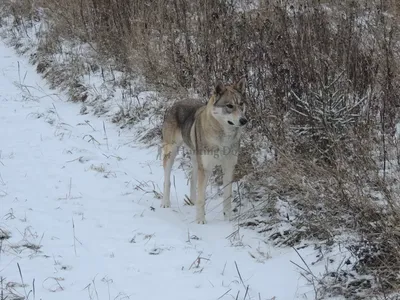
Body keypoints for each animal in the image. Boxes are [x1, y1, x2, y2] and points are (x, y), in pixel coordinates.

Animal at [159, 78, 247, 224]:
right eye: (229, 106)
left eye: (241, 104)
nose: (244, 120)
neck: (223, 138)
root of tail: (176, 103)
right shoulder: (205, 169)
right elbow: (202, 198)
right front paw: (200, 221)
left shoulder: (229, 167)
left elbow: (227, 197)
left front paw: (228, 219)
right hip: (171, 154)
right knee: (167, 180)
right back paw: (165, 203)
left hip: (196, 160)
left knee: (191, 176)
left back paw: (191, 201)